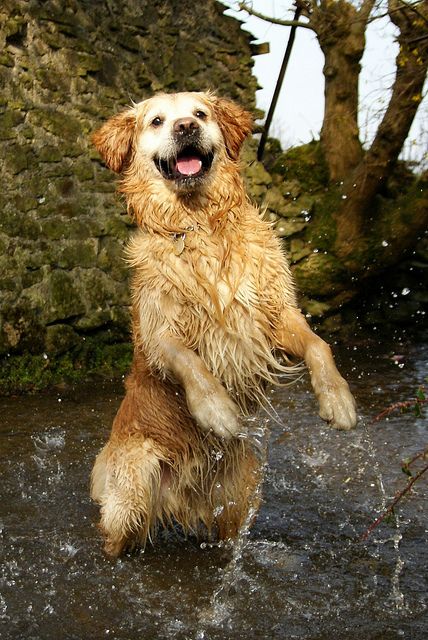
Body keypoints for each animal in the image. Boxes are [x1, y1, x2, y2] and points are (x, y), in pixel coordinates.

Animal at [88, 90, 356, 556]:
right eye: (157, 121)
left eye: (200, 113)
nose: (186, 128)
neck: (200, 225)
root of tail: (181, 497)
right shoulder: (160, 332)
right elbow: (190, 362)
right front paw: (216, 410)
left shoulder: (274, 314)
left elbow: (318, 344)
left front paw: (337, 399)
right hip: (133, 489)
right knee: (115, 534)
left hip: (240, 492)